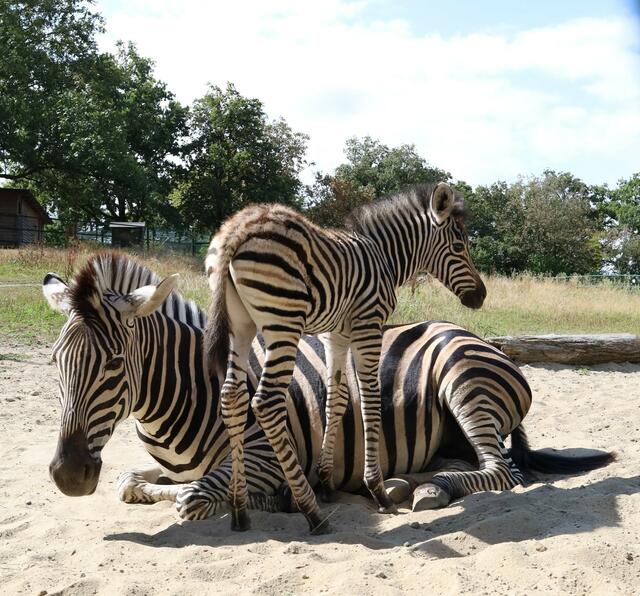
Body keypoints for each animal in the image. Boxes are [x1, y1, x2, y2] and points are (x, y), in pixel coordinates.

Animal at [43, 253, 612, 523]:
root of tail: (476, 336)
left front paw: (276, 499)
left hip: (463, 379)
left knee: (503, 472)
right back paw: (406, 484)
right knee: (472, 463)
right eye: (55, 363)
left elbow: (193, 497)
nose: (67, 476)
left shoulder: (266, 454)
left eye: (115, 363)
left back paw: (431, 490)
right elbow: (130, 482)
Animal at [204, 182, 486, 532]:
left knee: (232, 398)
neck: (384, 256)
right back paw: (311, 512)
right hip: (283, 323)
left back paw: (240, 509)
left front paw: (326, 481)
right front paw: (376, 489)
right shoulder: (369, 325)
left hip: (241, 326)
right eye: (460, 246)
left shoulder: (335, 335)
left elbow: (336, 399)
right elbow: (369, 400)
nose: (481, 296)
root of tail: (239, 228)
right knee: (266, 404)